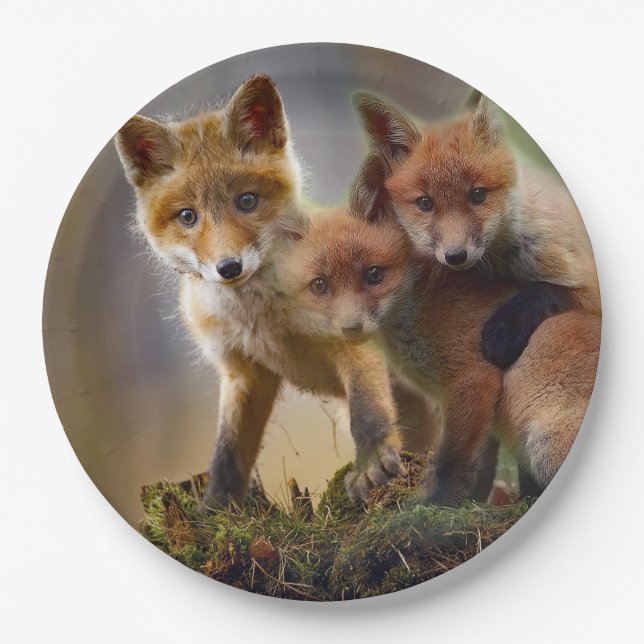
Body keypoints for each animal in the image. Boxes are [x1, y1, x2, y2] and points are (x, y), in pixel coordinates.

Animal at [114, 75, 405, 507]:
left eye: (247, 201)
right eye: (188, 216)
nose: (229, 267)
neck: (262, 320)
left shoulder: (353, 335)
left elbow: (367, 414)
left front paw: (371, 465)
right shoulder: (242, 371)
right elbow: (228, 452)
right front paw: (216, 507)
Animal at [278, 153, 600, 504]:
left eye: (374, 274)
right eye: (320, 285)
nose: (351, 328)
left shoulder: (472, 379)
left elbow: (453, 462)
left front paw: (434, 507)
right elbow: (480, 468)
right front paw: (470, 503)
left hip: (544, 439)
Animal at [352, 91, 601, 369]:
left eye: (478, 195)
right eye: (425, 203)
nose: (455, 256)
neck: (501, 265)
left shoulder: (584, 280)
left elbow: (543, 292)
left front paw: (504, 332)